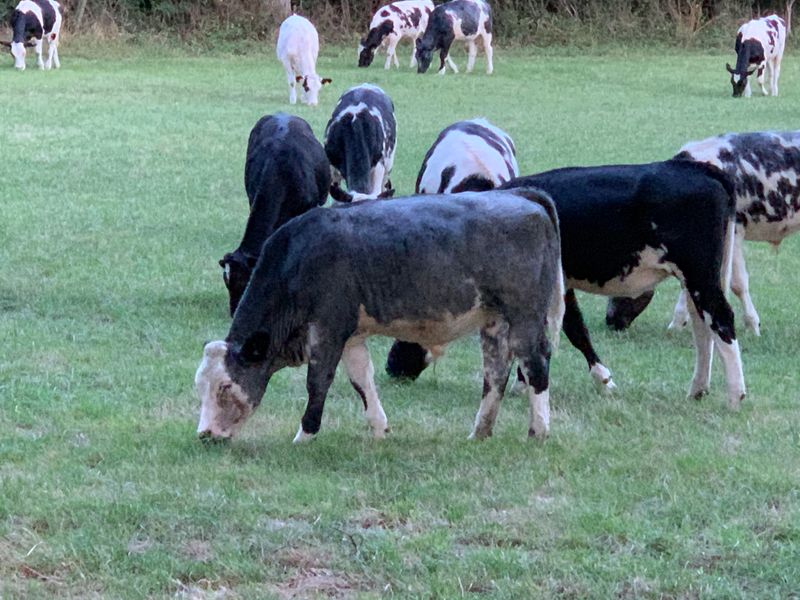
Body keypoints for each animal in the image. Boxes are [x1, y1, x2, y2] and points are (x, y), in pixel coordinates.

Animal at [195, 190, 565, 443]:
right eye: (200, 387)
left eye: (225, 386)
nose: (205, 434)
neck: (299, 258)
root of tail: (520, 195)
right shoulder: (352, 337)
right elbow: (362, 379)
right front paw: (378, 428)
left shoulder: (327, 329)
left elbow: (318, 381)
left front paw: (305, 436)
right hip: (493, 322)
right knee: (496, 372)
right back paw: (480, 432)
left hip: (525, 317)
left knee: (534, 363)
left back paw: (538, 431)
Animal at [386, 160, 747, 410]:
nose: (391, 368)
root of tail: (697, 168)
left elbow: (573, 331)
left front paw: (602, 379)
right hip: (696, 278)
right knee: (703, 328)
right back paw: (698, 389)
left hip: (699, 274)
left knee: (721, 320)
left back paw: (735, 395)